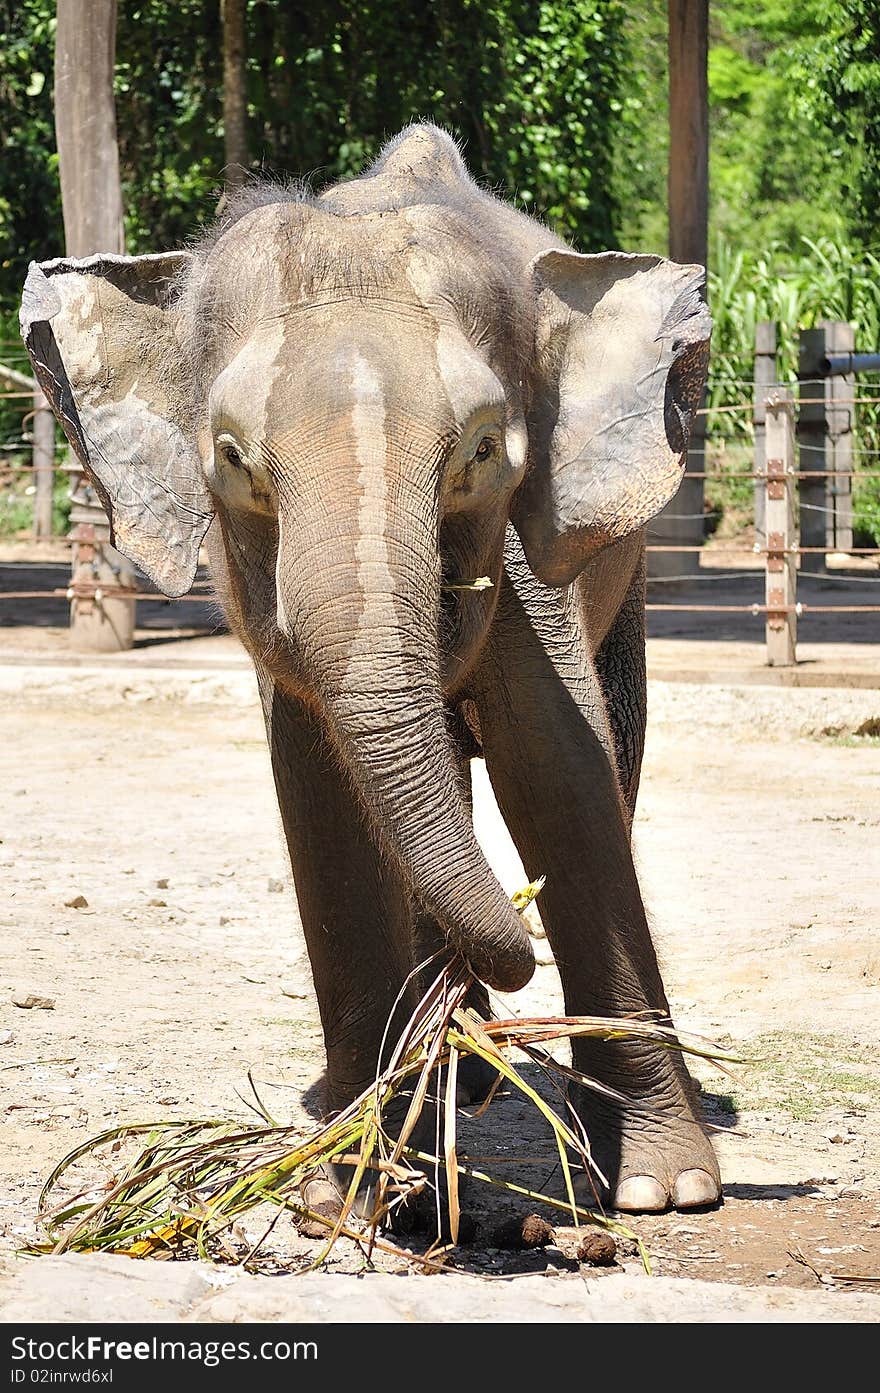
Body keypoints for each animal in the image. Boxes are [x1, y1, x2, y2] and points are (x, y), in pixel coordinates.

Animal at [22, 125, 724, 1214]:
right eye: (234, 459)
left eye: (481, 450)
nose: (509, 948)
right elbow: (322, 795)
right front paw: (350, 1189)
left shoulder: (527, 544)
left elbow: (559, 770)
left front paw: (665, 1190)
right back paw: (448, 1068)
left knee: (613, 735)